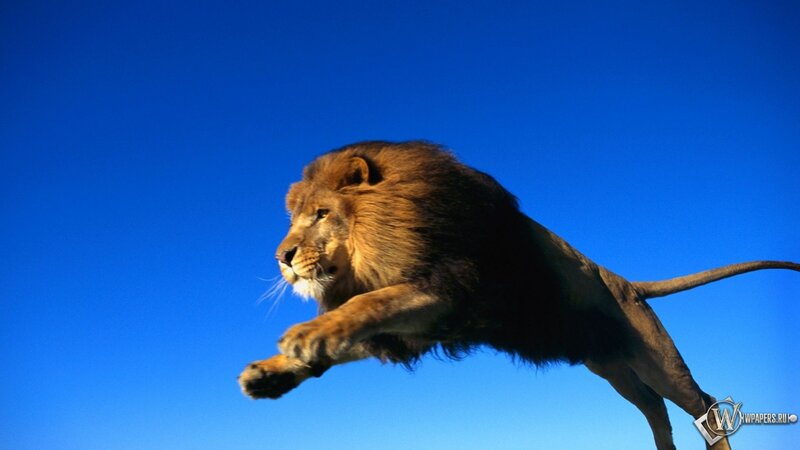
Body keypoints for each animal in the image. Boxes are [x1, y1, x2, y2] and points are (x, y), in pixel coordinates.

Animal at [238, 141, 798, 450]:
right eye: (294, 218)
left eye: (321, 214)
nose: (282, 257)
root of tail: (625, 282)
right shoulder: (419, 326)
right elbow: (352, 332)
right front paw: (271, 372)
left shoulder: (448, 291)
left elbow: (366, 305)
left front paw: (304, 336)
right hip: (613, 368)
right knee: (654, 409)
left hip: (656, 359)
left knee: (701, 403)